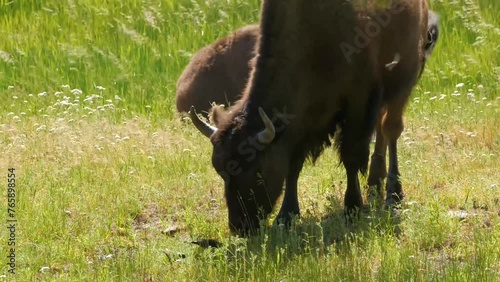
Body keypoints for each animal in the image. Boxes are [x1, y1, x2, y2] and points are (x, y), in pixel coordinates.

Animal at [190, 0, 438, 236]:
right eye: (220, 170)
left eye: (258, 173)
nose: (240, 227)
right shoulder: (302, 119)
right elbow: (293, 166)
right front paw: (286, 216)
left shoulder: (358, 101)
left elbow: (350, 157)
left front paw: (353, 207)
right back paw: (374, 183)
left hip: (403, 79)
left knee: (390, 128)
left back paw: (393, 194)